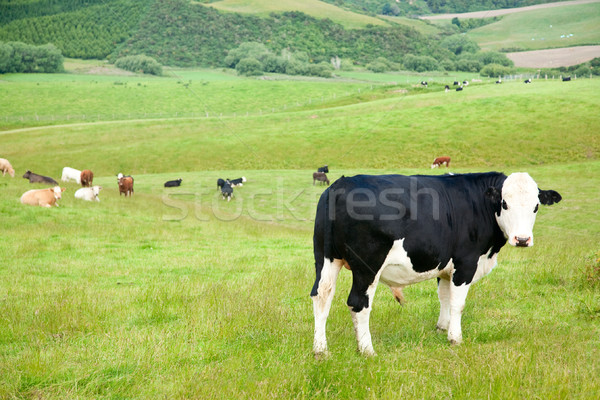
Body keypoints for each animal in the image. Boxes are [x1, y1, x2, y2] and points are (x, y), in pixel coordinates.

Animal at [312, 172, 560, 356]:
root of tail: (342, 183)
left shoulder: (446, 268)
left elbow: (444, 296)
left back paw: (320, 350)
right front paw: (455, 338)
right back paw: (366, 350)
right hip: (368, 265)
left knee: (322, 295)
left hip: (325, 257)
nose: (522, 239)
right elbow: (458, 303)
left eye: (536, 206)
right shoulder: (465, 263)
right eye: (505, 203)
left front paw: (442, 328)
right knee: (358, 303)